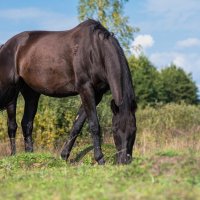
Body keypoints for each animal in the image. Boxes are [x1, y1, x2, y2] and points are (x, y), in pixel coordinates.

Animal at [0, 19, 136, 164]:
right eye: (115, 129)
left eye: (134, 130)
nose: (124, 161)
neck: (96, 50)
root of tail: (5, 46)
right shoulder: (85, 89)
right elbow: (94, 124)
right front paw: (100, 159)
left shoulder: (96, 94)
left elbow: (77, 125)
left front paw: (64, 155)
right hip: (8, 91)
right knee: (12, 125)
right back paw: (13, 155)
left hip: (31, 93)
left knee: (26, 123)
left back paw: (29, 155)